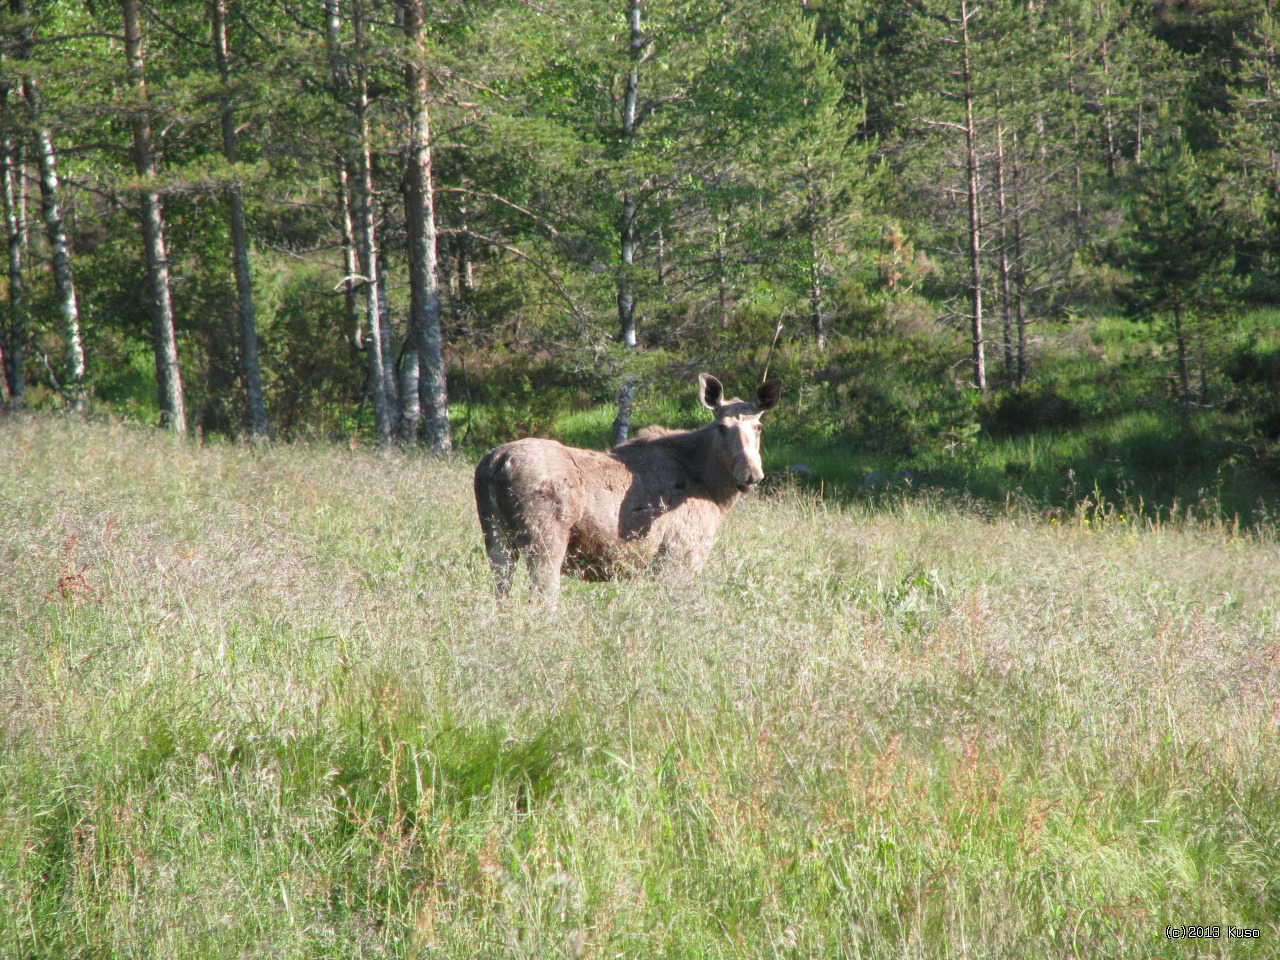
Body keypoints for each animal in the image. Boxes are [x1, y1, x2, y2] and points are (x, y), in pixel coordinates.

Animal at [476, 373, 778, 601]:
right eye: (721, 427)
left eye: (759, 426)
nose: (751, 473)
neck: (715, 491)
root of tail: (494, 464)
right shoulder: (682, 555)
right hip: (544, 540)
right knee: (542, 600)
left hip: (495, 538)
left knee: (501, 597)